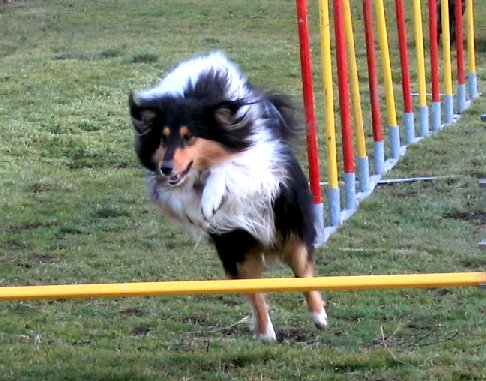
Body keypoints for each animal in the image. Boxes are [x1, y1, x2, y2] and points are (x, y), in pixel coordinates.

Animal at [128, 51, 326, 342]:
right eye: (162, 139)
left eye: (189, 137)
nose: (166, 168)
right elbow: (184, 196)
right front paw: (204, 202)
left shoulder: (261, 164)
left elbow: (229, 166)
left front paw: (211, 196)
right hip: (236, 247)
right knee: (255, 292)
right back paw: (265, 332)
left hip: (290, 229)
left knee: (304, 272)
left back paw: (319, 316)